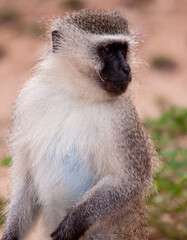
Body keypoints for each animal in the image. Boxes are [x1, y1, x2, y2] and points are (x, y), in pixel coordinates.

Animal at [1, 9, 159, 240]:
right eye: (107, 50)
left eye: (123, 50)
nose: (126, 68)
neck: (75, 93)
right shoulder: (26, 100)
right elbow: (26, 183)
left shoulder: (123, 120)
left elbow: (128, 180)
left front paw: (74, 222)